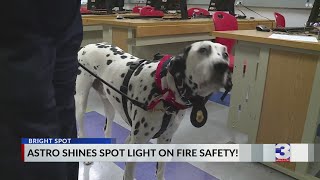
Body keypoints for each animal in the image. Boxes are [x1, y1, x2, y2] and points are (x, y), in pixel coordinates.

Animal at [74, 40, 230, 180]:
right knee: (81, 130)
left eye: (225, 54)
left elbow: (160, 171)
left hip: (109, 105)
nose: (223, 66)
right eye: (203, 50)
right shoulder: (136, 143)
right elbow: (128, 173)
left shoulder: (165, 140)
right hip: (81, 104)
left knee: (106, 128)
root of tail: (86, 46)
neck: (165, 89)